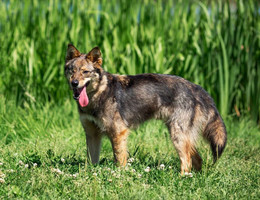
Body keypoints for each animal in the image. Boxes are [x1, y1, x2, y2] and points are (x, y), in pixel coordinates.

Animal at [64, 44, 226, 175]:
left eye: (85, 72)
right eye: (72, 70)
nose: (74, 83)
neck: (99, 93)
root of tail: (196, 87)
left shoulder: (118, 134)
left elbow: (119, 160)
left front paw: (119, 177)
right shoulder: (92, 134)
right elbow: (92, 160)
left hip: (177, 136)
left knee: (186, 161)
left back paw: (181, 178)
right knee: (197, 159)